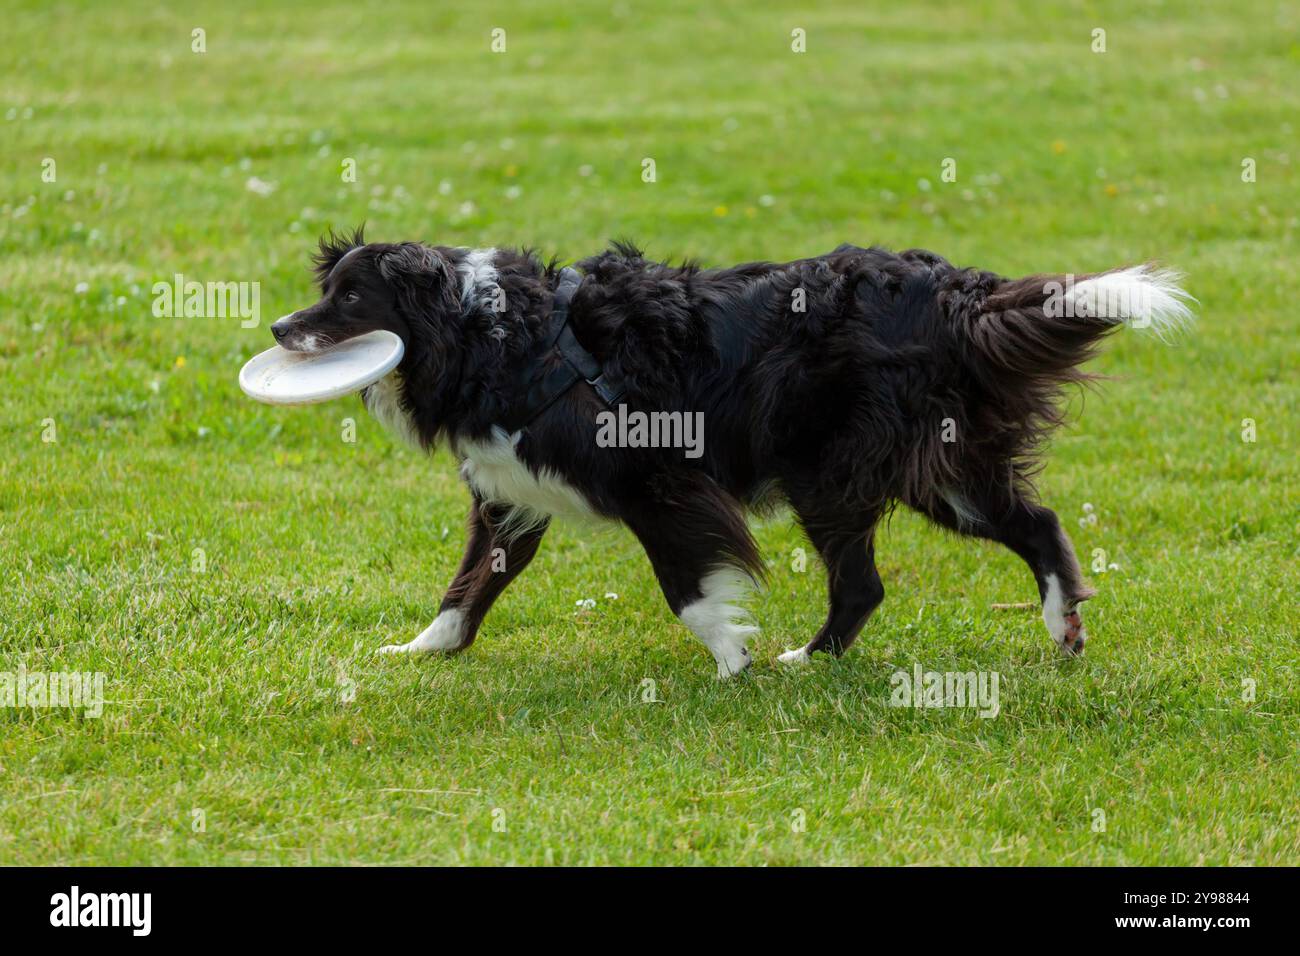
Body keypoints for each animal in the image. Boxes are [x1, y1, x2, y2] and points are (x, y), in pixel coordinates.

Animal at [269, 230, 1190, 681]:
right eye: (326, 290)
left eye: (348, 297)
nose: (278, 328)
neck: (497, 334)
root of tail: (958, 294)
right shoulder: (511, 492)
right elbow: (469, 585)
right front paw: (423, 651)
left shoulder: (657, 481)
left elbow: (687, 587)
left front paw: (729, 658)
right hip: (934, 469)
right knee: (1028, 526)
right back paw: (1055, 625)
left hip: (833, 469)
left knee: (869, 577)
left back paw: (805, 662)